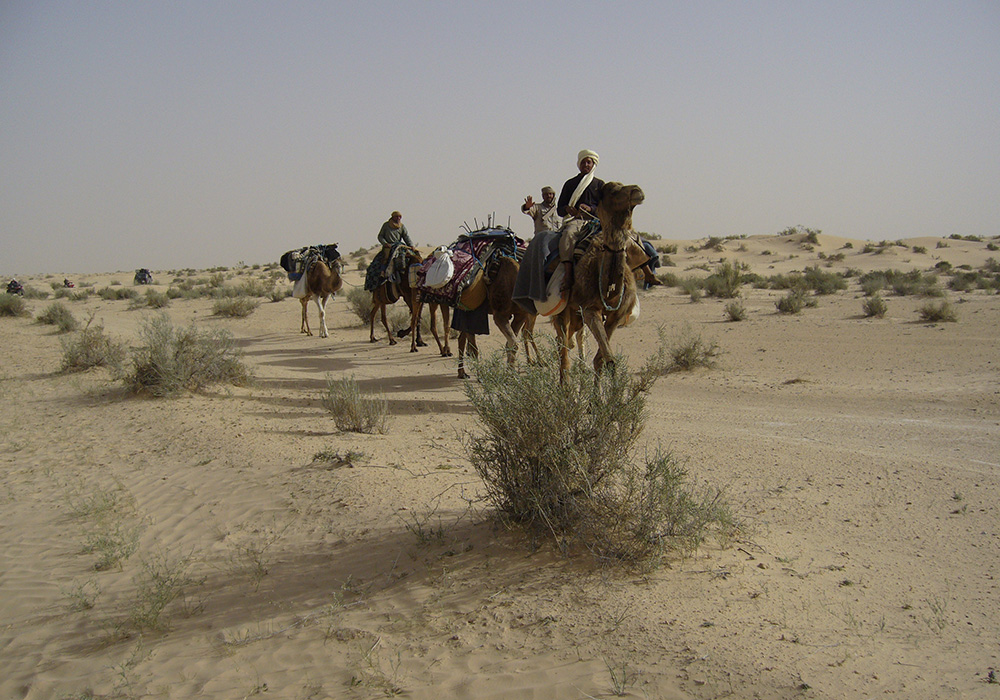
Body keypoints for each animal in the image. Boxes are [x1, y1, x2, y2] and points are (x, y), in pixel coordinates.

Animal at [552, 178, 644, 380]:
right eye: (611, 190)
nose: (637, 191)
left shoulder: (617, 316)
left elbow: (602, 360)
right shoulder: (589, 309)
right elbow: (609, 359)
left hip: (575, 315)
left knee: (569, 344)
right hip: (564, 309)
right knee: (563, 354)